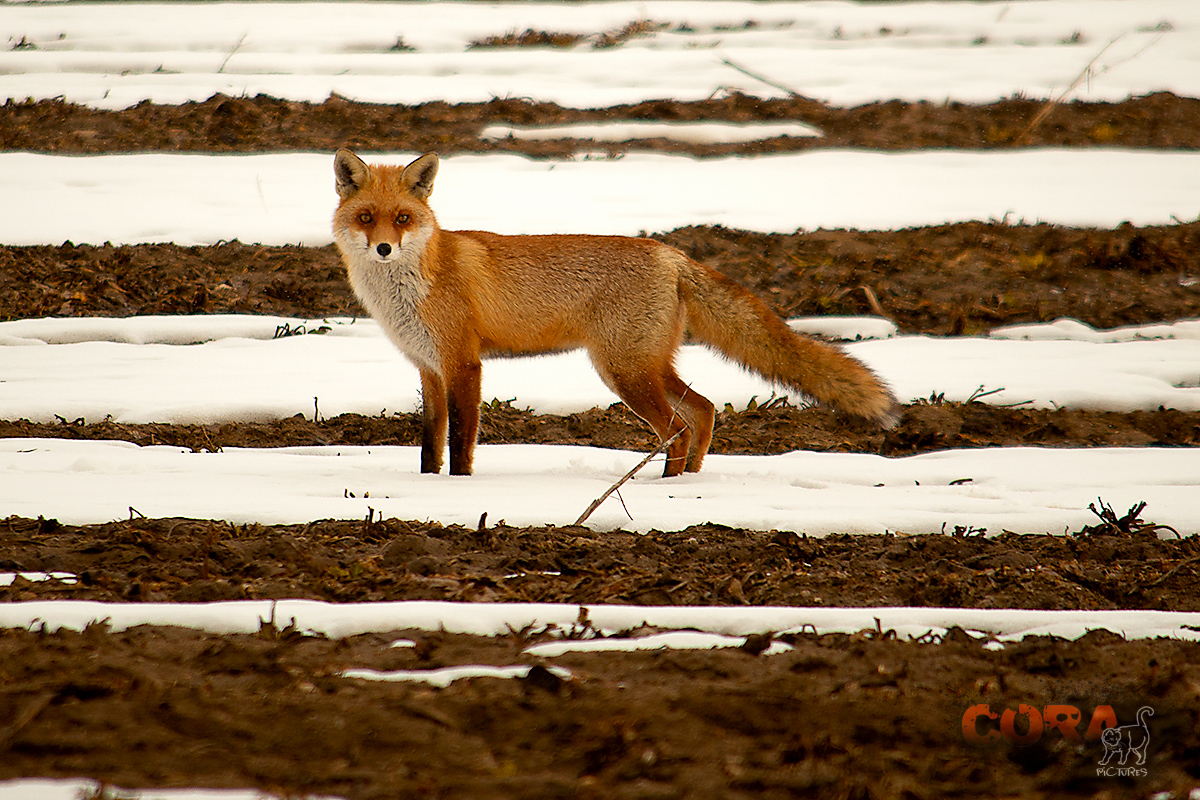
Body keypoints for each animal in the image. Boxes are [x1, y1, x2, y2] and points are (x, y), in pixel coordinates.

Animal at [333, 149, 897, 474]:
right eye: (366, 217)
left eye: (402, 219)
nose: (383, 249)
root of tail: (669, 253)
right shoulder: (429, 368)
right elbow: (430, 445)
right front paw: (430, 488)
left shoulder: (463, 364)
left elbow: (460, 445)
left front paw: (461, 490)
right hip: (644, 366)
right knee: (703, 410)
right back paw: (687, 483)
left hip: (624, 370)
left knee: (678, 427)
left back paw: (662, 489)